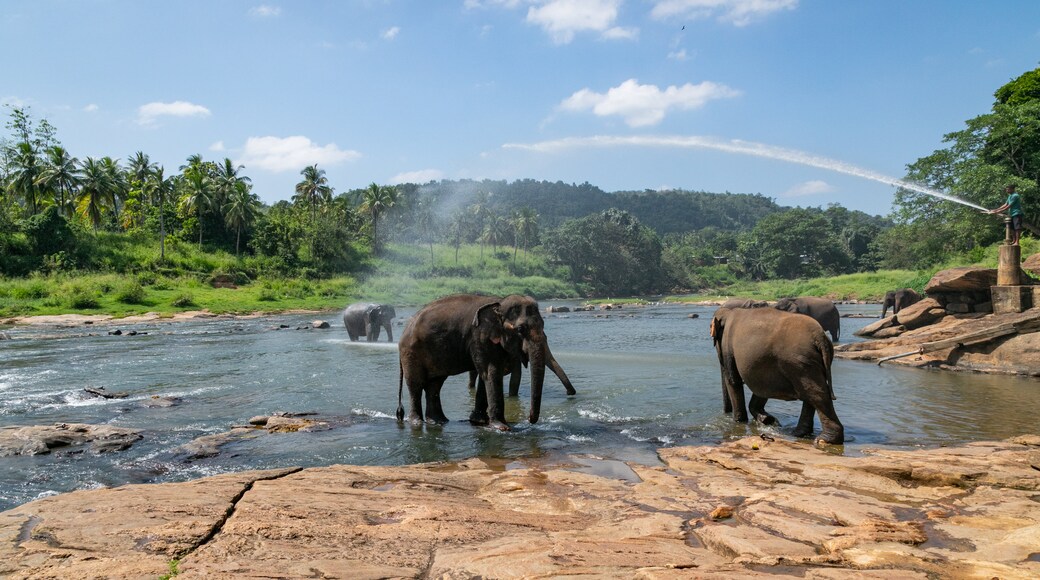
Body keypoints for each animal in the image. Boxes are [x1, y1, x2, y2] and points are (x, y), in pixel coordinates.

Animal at [395, 295, 553, 432]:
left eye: (543, 325)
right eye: (520, 329)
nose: (529, 419)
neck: (499, 303)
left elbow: (487, 375)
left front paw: (479, 421)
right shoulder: (480, 337)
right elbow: (491, 373)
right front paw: (502, 427)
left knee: (434, 385)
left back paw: (439, 421)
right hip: (411, 352)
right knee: (416, 384)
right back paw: (417, 422)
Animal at [707, 309, 844, 444]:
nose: (727, 413)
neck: (728, 312)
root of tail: (820, 337)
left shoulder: (727, 347)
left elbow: (733, 380)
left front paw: (739, 422)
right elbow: (762, 385)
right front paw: (767, 420)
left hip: (799, 362)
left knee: (816, 392)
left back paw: (825, 439)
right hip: (811, 362)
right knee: (810, 392)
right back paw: (799, 433)